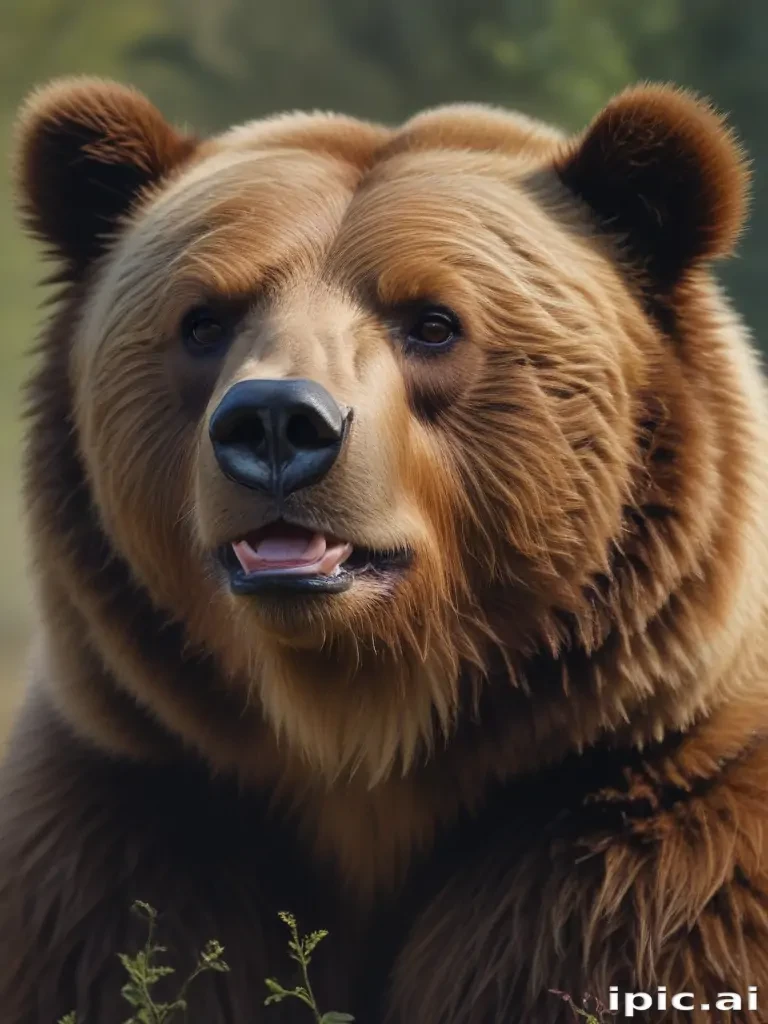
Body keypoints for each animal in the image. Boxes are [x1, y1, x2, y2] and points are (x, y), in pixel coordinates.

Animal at [1, 73, 767, 1023]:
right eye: (203, 320)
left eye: (433, 322)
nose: (277, 422)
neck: (361, 736)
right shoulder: (136, 817)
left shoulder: (634, 836)